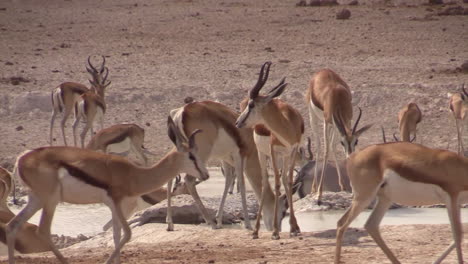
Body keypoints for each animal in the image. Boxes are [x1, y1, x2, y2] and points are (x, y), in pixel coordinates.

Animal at [6, 117, 207, 264]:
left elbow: (116, 235)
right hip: (50, 200)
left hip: (37, 200)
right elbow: (127, 234)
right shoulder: (117, 202)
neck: (134, 175)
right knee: (43, 231)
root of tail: (22, 159)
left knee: (12, 226)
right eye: (191, 155)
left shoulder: (115, 206)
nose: (205, 174)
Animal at [236, 62, 302, 239]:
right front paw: (275, 232)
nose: (238, 122)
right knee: (266, 181)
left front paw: (294, 228)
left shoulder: (293, 150)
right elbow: (277, 184)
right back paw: (256, 231)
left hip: (284, 156)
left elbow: (288, 182)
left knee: (284, 180)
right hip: (262, 153)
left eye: (252, 105)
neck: (288, 127)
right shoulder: (273, 151)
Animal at [304, 68, 372, 202]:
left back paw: (342, 185)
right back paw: (314, 188)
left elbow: (333, 147)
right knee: (319, 146)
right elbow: (326, 151)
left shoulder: (345, 122)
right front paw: (319, 194)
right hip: (314, 117)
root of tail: (322, 70)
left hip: (334, 127)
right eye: (342, 142)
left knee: (331, 146)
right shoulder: (327, 122)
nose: (350, 156)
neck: (338, 97)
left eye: (356, 142)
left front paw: (352, 191)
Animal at [334, 142, 468, 264]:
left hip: (384, 199)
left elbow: (458, 236)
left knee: (368, 224)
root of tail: (353, 157)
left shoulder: (456, 203)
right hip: (364, 197)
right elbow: (457, 235)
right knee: (343, 225)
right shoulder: (452, 197)